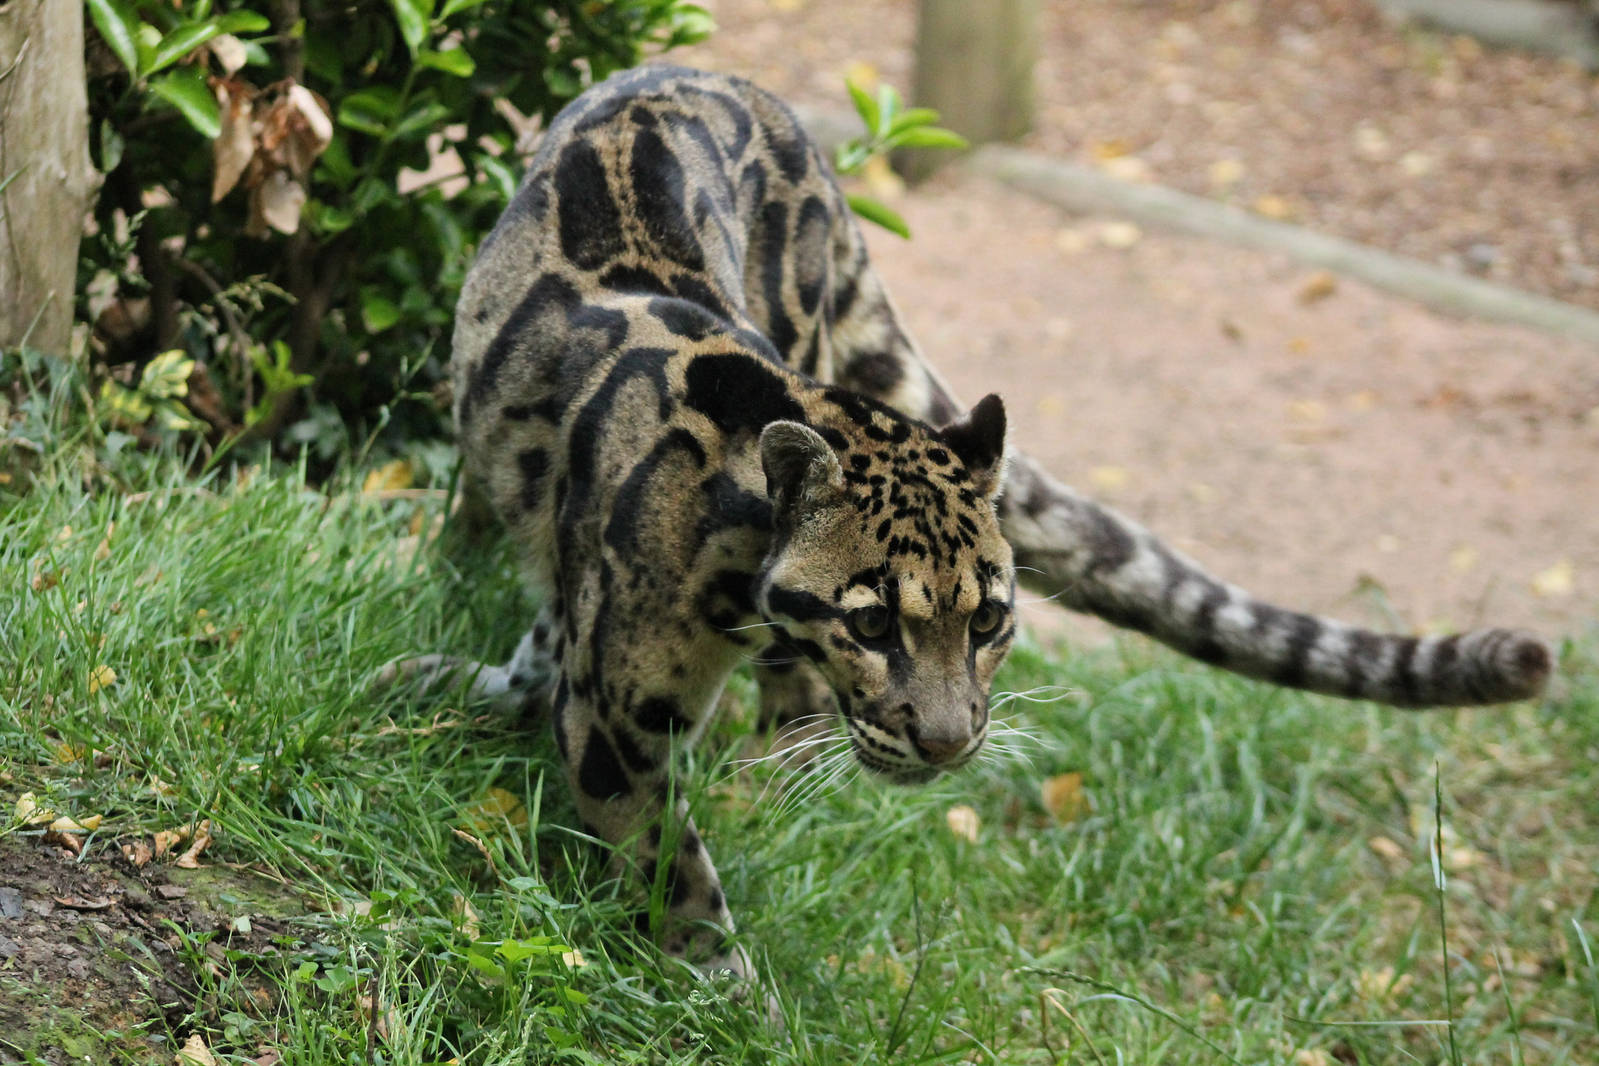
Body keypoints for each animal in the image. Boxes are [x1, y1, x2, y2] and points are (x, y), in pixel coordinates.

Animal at [384, 64, 1552, 983]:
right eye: (870, 624)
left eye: (988, 620)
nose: (947, 743)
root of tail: (737, 84)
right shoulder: (620, 719)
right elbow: (676, 873)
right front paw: (730, 996)